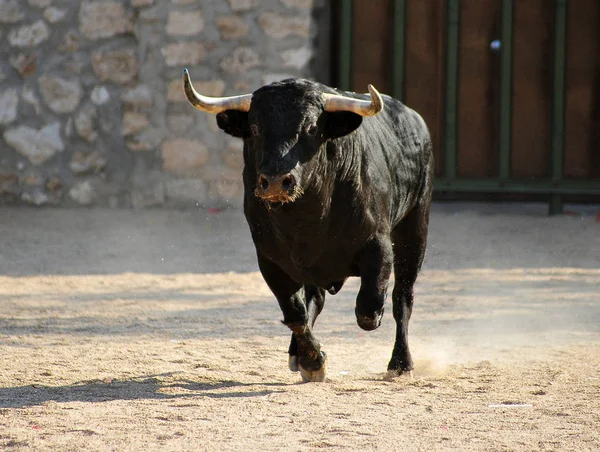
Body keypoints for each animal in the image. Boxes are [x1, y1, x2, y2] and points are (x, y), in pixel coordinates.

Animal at [183, 73, 432, 382]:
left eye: (312, 128)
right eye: (255, 127)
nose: (276, 182)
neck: (306, 219)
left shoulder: (379, 244)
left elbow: (369, 308)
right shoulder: (270, 261)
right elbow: (296, 314)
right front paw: (313, 361)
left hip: (415, 228)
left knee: (403, 297)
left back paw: (401, 363)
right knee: (314, 300)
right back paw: (298, 353)